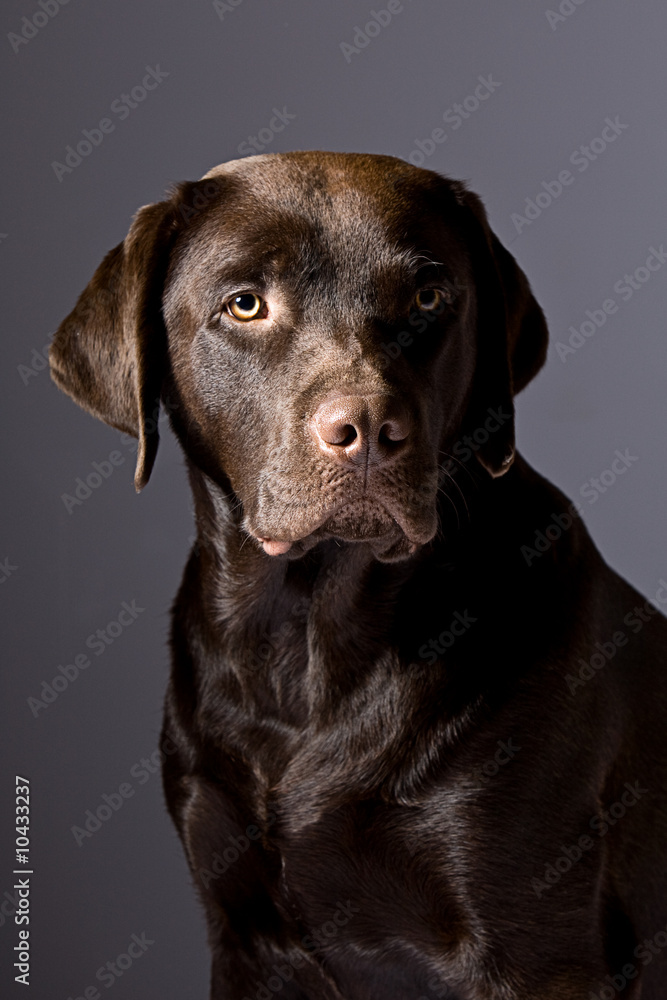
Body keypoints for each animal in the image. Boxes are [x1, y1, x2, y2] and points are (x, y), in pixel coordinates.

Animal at [49, 150, 667, 1000]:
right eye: (245, 304)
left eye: (428, 298)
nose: (370, 430)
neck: (303, 646)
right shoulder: (244, 941)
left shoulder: (541, 957)